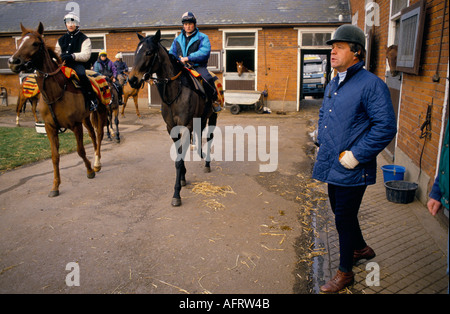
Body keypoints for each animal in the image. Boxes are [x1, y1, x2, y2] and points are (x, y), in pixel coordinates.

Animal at [8, 22, 108, 196]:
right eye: (19, 41)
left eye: (35, 43)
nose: (13, 61)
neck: (57, 92)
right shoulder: (50, 127)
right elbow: (55, 157)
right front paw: (55, 186)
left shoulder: (75, 125)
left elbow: (80, 150)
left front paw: (89, 171)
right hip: (85, 118)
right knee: (93, 135)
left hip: (99, 112)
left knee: (99, 134)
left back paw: (96, 162)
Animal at [128, 29, 218, 206]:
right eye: (136, 52)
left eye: (149, 52)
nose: (132, 79)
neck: (175, 92)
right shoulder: (172, 128)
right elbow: (179, 155)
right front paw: (182, 178)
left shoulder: (186, 126)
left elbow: (179, 159)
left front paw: (177, 194)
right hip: (201, 119)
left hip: (212, 117)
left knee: (209, 138)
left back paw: (207, 163)